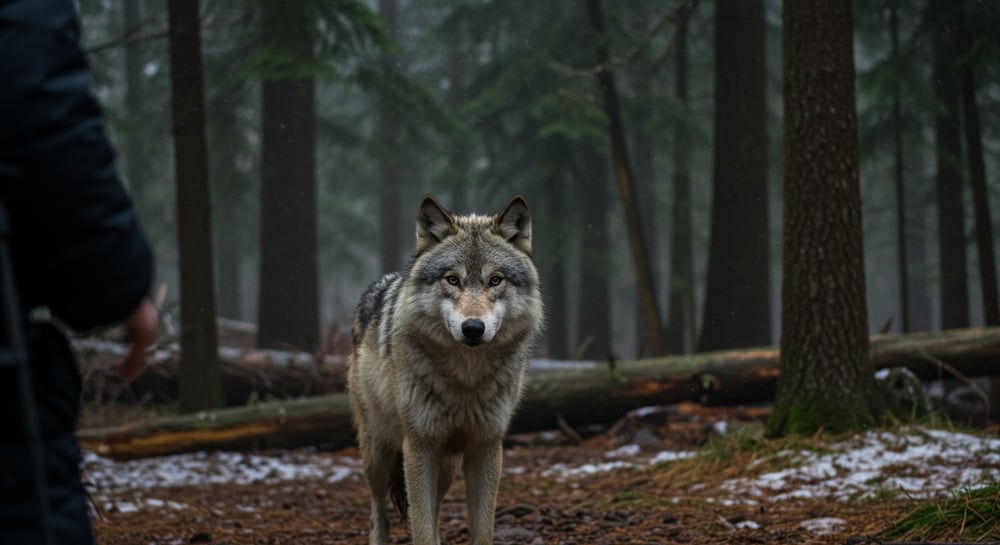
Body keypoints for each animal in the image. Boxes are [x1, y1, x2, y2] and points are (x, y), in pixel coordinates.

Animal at [348, 196, 544, 544]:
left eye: (495, 280)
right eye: (452, 279)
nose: (473, 328)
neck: (466, 378)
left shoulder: (486, 447)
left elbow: (481, 529)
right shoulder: (419, 446)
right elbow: (421, 528)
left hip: (447, 464)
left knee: (435, 509)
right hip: (378, 451)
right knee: (377, 511)